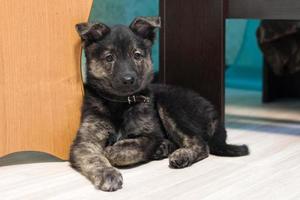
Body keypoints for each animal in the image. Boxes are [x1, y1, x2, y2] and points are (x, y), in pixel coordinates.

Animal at [69, 17, 248, 192]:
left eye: (137, 55)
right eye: (109, 58)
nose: (128, 80)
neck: (121, 104)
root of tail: (214, 114)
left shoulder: (151, 135)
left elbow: (130, 147)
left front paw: (112, 151)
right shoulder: (86, 141)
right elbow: (94, 158)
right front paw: (107, 173)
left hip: (169, 105)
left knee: (201, 144)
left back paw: (181, 155)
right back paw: (163, 148)